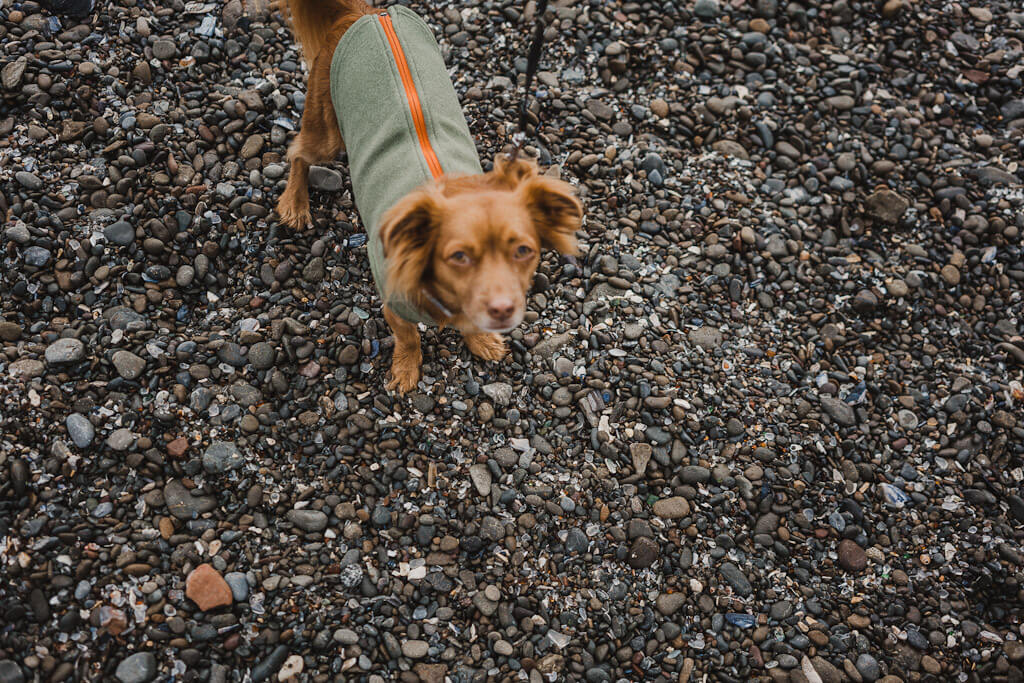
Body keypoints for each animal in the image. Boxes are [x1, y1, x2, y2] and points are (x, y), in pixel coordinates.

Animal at [264, 0, 585, 393]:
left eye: (523, 251)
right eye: (459, 257)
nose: (502, 309)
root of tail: (368, 14)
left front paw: (481, 340)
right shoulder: (392, 301)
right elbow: (408, 336)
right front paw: (406, 368)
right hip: (327, 128)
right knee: (298, 152)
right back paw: (295, 203)